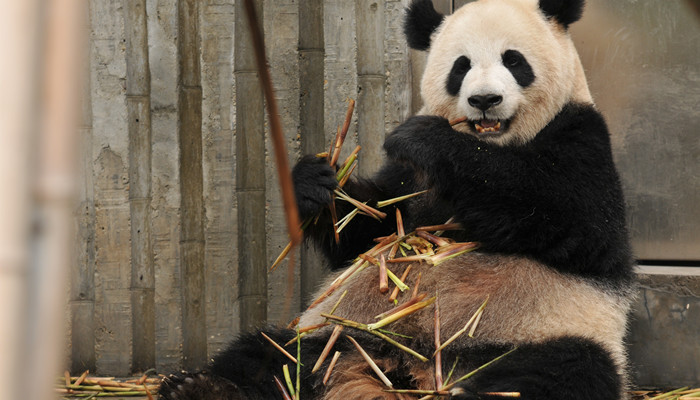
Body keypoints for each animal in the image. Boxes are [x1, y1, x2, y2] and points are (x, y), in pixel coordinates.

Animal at [160, 0, 636, 400]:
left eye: (514, 60)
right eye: (461, 67)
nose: (484, 100)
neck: (495, 143)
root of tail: (410, 368)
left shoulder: (582, 139)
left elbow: (572, 219)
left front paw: (428, 138)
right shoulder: (408, 180)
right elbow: (371, 230)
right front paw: (316, 181)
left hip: (539, 333)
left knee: (556, 374)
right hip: (343, 331)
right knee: (270, 356)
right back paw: (200, 386)